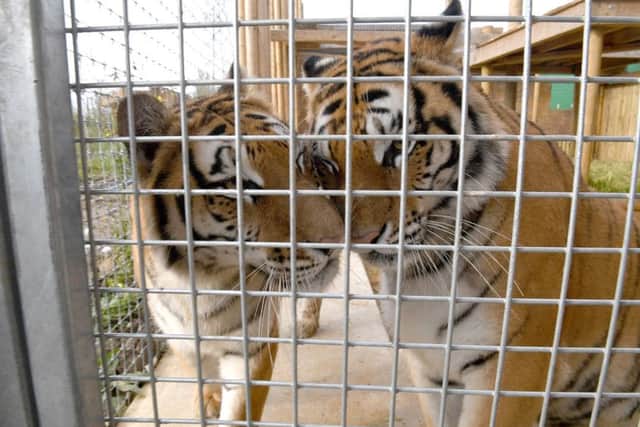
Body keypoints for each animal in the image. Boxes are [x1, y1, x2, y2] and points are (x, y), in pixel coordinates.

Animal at [116, 73, 343, 425]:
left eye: (297, 160)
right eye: (237, 185)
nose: (336, 241)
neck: (200, 282)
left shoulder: (252, 345)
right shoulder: (180, 338)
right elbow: (201, 370)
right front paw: (209, 398)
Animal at [297, 0, 640, 425]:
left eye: (399, 147)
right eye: (325, 164)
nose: (358, 237)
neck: (422, 275)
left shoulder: (510, 373)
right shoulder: (430, 369)